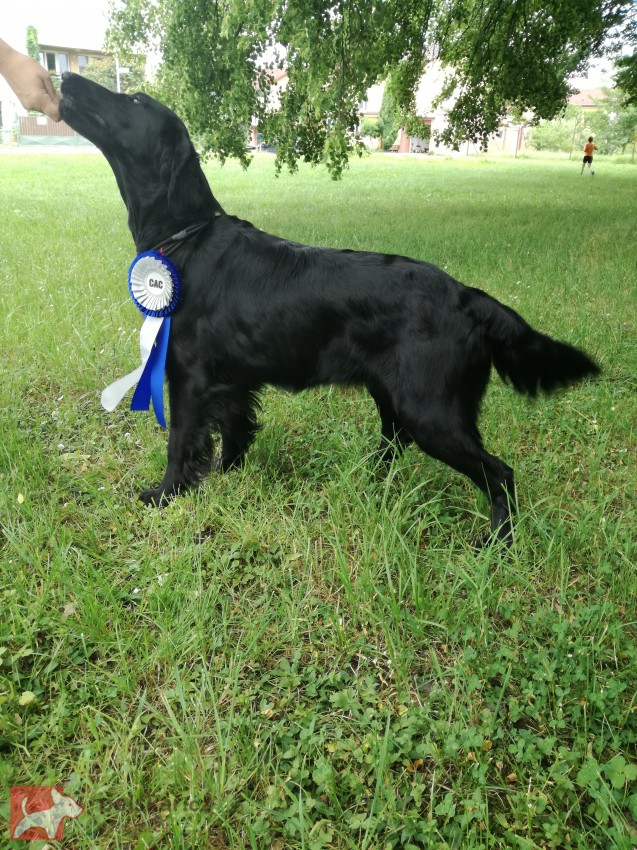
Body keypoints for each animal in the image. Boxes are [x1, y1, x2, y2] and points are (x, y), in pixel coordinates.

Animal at [58, 69, 596, 540]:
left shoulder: (190, 378)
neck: (185, 237)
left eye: (133, 101)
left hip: (432, 411)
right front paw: (228, 477)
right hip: (394, 396)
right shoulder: (232, 381)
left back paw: (498, 539)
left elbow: (180, 444)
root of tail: (467, 296)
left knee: (498, 472)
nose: (65, 79)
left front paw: (165, 495)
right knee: (394, 443)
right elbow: (234, 433)